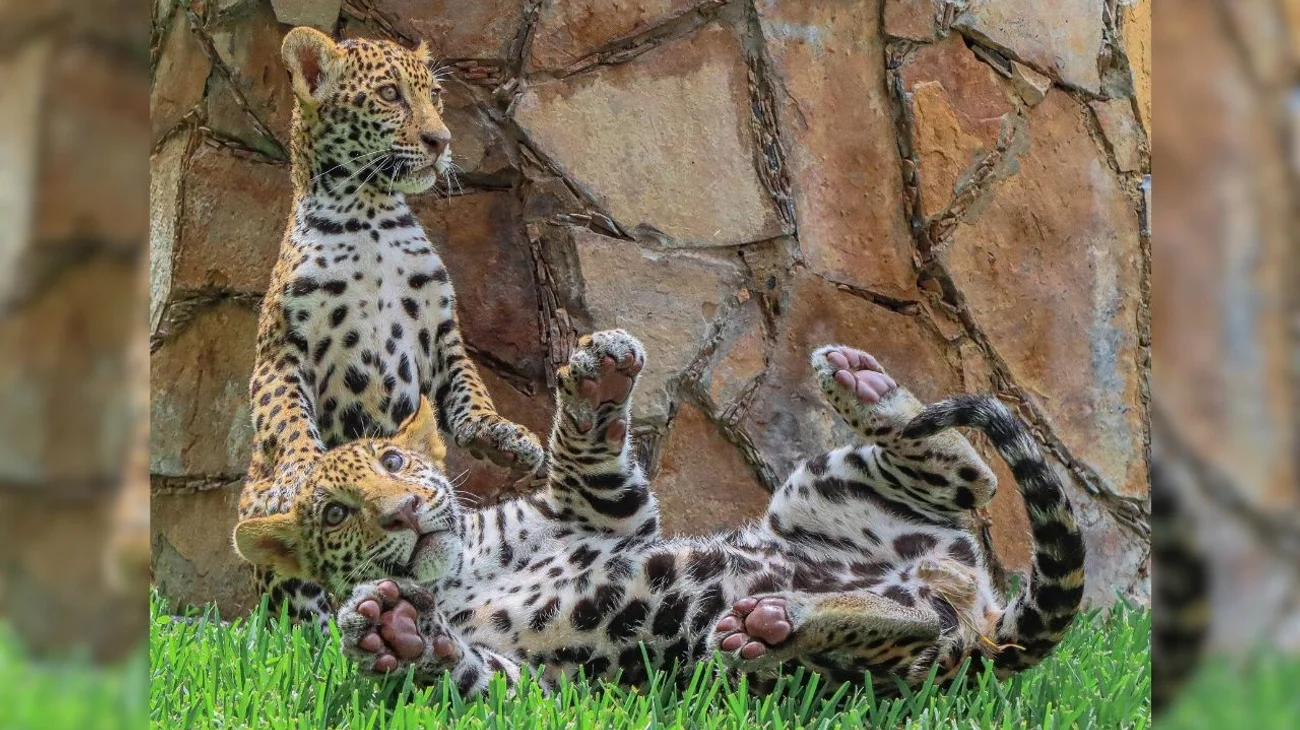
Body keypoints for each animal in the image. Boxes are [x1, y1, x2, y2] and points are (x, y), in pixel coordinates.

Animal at [234, 329, 1086, 697]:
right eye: (336, 513)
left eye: (394, 463)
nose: (404, 512)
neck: (458, 574)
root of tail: (987, 623)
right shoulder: (549, 691)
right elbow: (480, 674)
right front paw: (393, 632)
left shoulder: (600, 513)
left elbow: (584, 451)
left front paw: (597, 379)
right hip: (878, 661)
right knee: (914, 617)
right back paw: (779, 622)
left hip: (824, 487)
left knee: (973, 477)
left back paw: (862, 383)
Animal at [236, 26, 544, 628]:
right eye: (389, 94)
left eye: (435, 96)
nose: (440, 140)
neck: (369, 215)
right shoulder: (281, 349)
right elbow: (287, 417)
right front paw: (303, 470)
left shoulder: (440, 333)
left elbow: (471, 391)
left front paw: (501, 434)